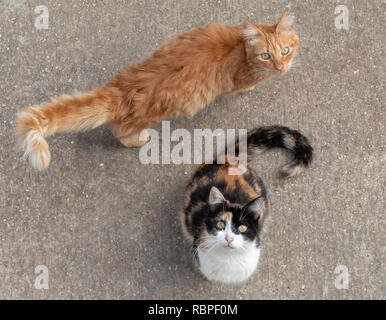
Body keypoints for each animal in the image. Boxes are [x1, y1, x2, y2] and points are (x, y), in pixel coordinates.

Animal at [15, 13, 298, 170]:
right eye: (266, 56)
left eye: (285, 51)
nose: (281, 68)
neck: (240, 47)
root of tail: (121, 89)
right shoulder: (236, 81)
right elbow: (243, 86)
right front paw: (252, 86)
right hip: (145, 120)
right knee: (122, 134)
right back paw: (140, 139)